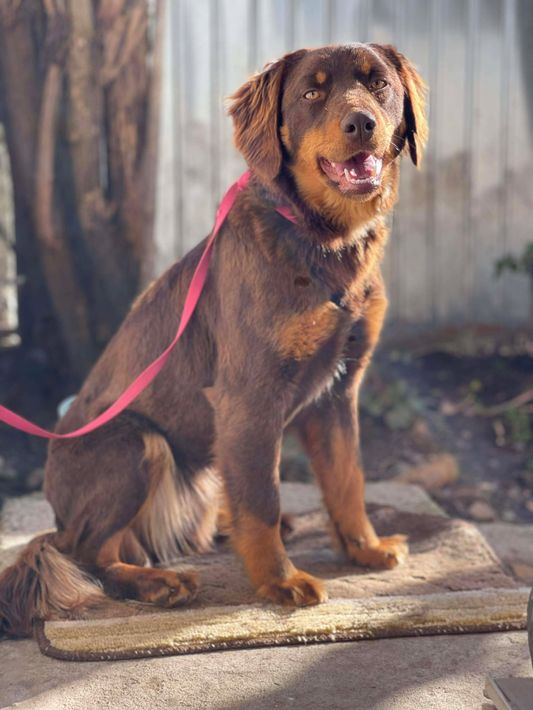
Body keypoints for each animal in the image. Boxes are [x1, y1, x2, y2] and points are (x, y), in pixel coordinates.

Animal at [0, 43, 427, 637]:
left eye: (379, 85)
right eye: (311, 93)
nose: (361, 123)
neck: (322, 243)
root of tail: (55, 513)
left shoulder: (339, 390)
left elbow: (348, 480)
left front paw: (363, 547)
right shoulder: (249, 397)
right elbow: (264, 499)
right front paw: (279, 582)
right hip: (136, 443)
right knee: (89, 552)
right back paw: (155, 582)